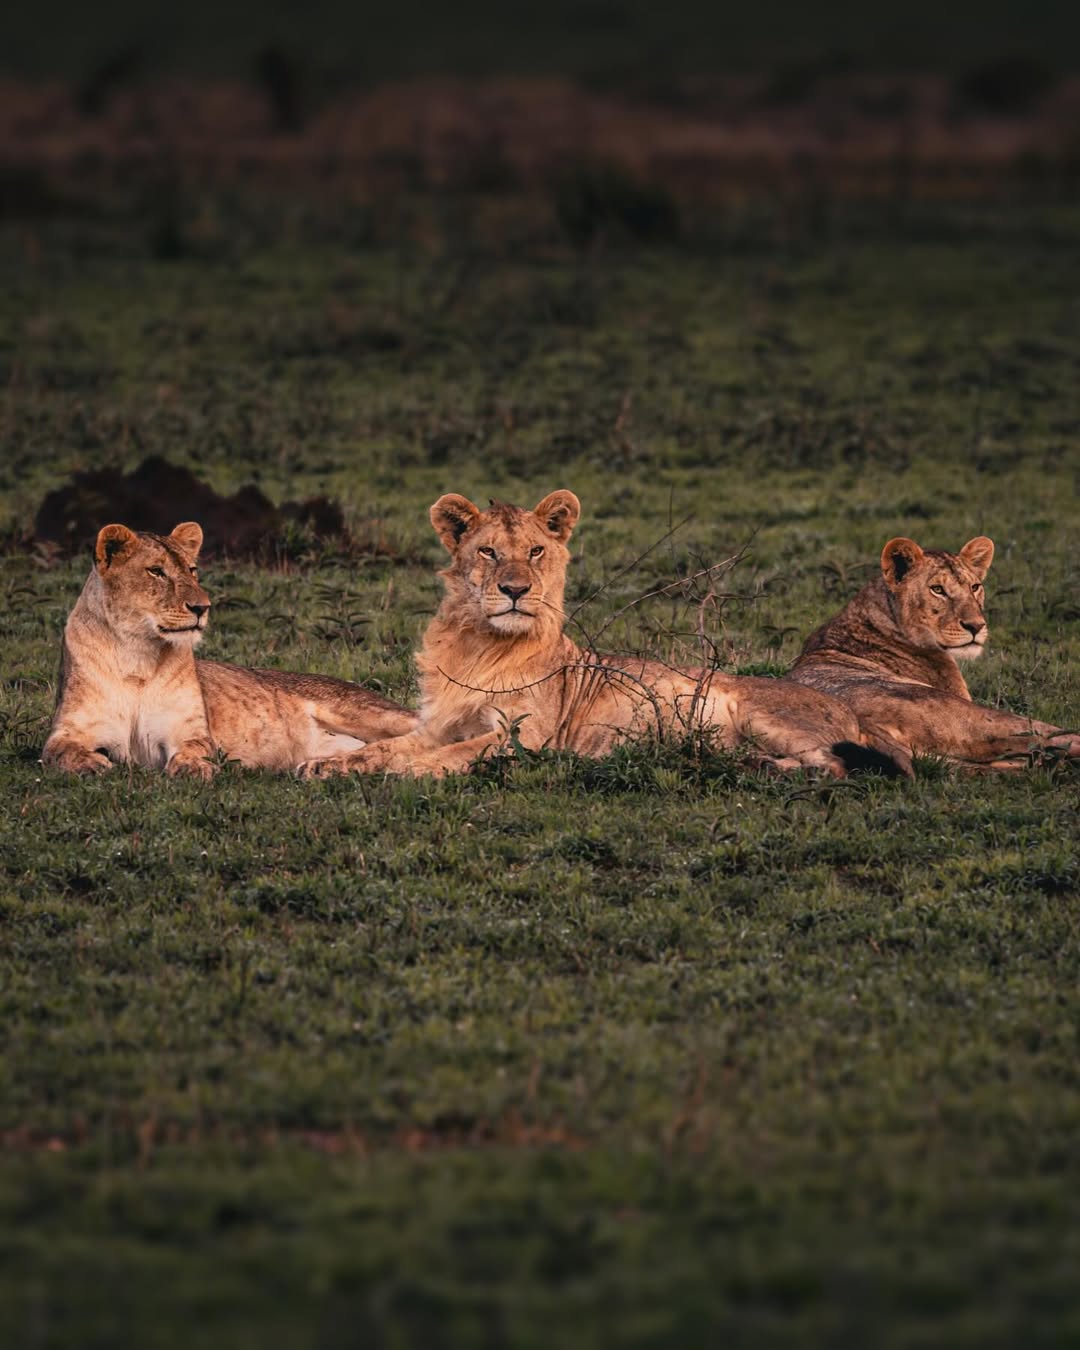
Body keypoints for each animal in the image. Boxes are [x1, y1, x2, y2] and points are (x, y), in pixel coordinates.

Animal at [42, 521, 417, 778]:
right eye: (156, 571)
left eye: (192, 570)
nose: (202, 607)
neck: (137, 653)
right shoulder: (69, 729)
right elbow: (58, 751)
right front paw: (92, 764)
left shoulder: (189, 730)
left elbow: (196, 749)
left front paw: (194, 769)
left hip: (366, 712)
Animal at [298, 491, 908, 780]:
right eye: (488, 551)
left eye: (535, 551)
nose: (515, 589)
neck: (480, 645)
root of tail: (850, 712)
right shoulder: (437, 724)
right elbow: (388, 745)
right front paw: (326, 766)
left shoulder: (525, 736)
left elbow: (449, 756)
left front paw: (400, 772)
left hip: (763, 713)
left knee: (839, 765)